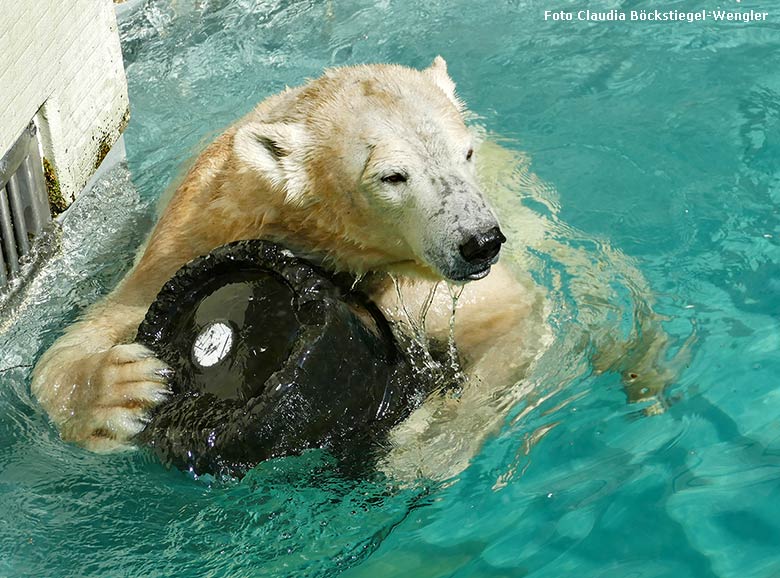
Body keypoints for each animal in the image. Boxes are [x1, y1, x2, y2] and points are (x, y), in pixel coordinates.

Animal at [30, 57, 676, 476]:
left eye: (464, 152)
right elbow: (102, 322)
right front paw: (125, 385)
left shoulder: (433, 281)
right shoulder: (201, 228)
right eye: (392, 175)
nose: (479, 243)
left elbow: (510, 324)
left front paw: (421, 443)